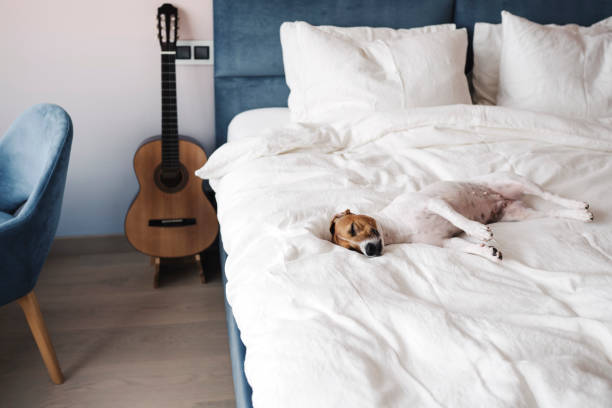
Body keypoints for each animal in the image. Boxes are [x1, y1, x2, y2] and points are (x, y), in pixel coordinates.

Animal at [330, 172, 592, 262]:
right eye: (352, 250)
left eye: (353, 228)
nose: (369, 251)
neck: (397, 228)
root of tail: (503, 199)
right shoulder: (444, 242)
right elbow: (465, 247)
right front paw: (487, 251)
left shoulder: (434, 203)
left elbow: (458, 219)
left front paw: (479, 230)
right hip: (518, 214)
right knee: (550, 211)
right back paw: (577, 214)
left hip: (515, 182)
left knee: (548, 195)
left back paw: (579, 204)